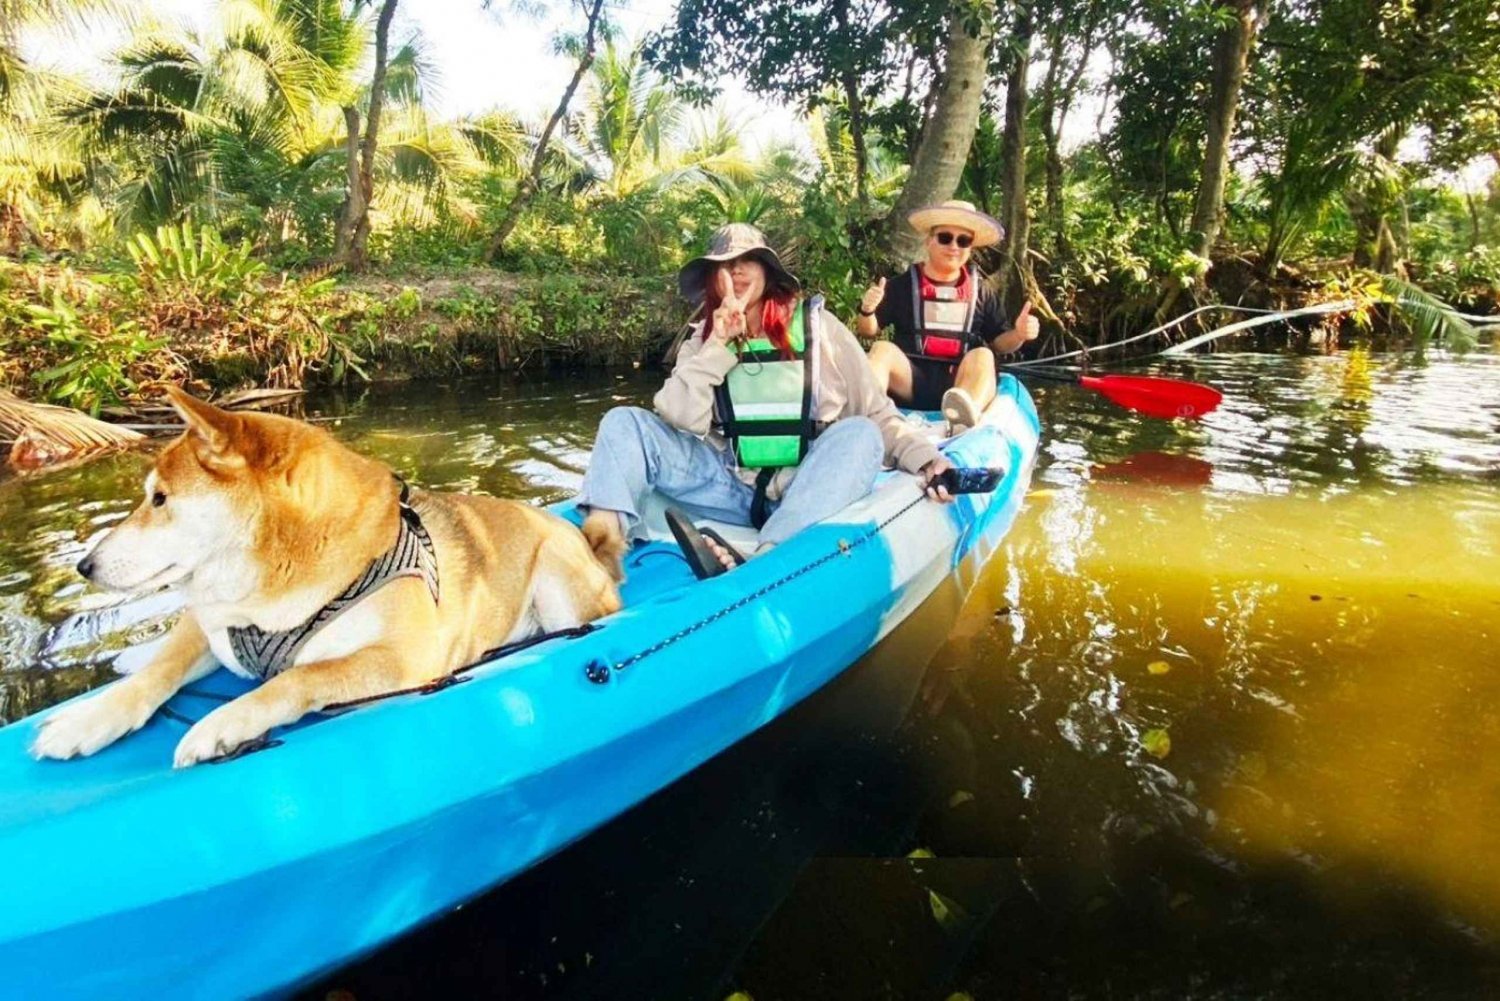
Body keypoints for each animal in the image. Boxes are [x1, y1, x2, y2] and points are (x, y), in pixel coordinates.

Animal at [33, 390, 621, 768]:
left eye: (160, 499)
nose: (84, 566)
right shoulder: (211, 619)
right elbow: (155, 672)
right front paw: (85, 721)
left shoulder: (405, 660)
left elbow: (299, 677)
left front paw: (222, 723)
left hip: (557, 580)